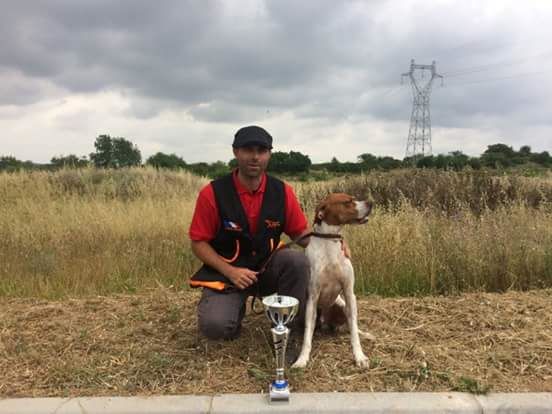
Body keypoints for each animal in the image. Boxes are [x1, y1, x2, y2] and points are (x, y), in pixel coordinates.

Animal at [294, 192, 376, 368]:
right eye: (347, 202)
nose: (370, 202)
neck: (329, 241)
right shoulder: (312, 298)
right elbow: (307, 336)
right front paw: (302, 359)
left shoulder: (349, 292)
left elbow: (354, 332)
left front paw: (360, 356)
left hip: (343, 304)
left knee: (353, 325)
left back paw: (365, 334)